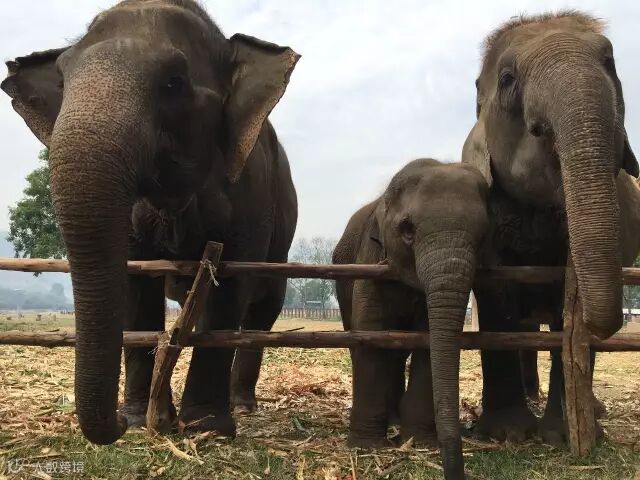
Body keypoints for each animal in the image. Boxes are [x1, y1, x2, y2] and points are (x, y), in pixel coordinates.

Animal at [1, 0, 299, 445]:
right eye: (62, 80)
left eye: (174, 83)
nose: (118, 423)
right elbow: (135, 283)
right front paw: (142, 420)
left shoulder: (250, 188)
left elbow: (229, 280)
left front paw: (206, 428)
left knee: (264, 307)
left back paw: (243, 406)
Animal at [333, 159, 490, 479]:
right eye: (407, 230)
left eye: (483, 236)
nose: (456, 473)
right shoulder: (370, 262)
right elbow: (370, 335)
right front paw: (365, 446)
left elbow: (427, 341)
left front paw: (417, 442)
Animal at [462, 11, 640, 445]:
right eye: (507, 78)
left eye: (610, 61)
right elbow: (495, 294)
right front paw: (507, 434)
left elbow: (568, 305)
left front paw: (559, 436)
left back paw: (591, 411)